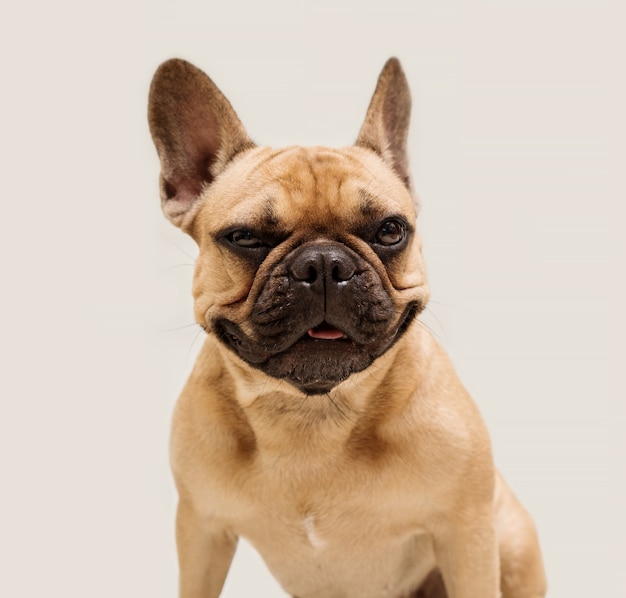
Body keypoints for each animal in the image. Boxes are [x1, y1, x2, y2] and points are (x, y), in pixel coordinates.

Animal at [149, 57, 544, 598]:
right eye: (245, 237)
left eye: (391, 230)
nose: (322, 264)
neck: (310, 418)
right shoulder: (201, 532)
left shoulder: (467, 535)